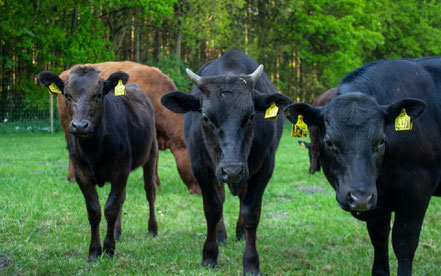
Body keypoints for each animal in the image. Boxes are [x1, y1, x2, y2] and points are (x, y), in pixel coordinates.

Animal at [38, 66, 158, 260]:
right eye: (67, 95)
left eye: (98, 95)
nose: (80, 126)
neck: (94, 148)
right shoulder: (81, 172)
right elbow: (94, 211)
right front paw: (94, 251)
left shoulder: (121, 169)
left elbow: (111, 208)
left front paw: (108, 249)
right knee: (122, 198)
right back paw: (117, 232)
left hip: (151, 153)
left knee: (150, 192)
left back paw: (152, 229)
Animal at [161, 50, 292, 276]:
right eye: (205, 117)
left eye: (251, 116)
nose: (232, 170)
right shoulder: (200, 169)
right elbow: (213, 209)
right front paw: (209, 255)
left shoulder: (263, 170)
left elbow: (251, 214)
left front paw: (251, 262)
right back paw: (221, 236)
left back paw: (239, 232)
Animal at [286, 57, 440, 274]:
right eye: (329, 142)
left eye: (381, 141)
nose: (360, 197)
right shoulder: (377, 203)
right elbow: (379, 240)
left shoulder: (417, 189)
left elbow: (404, 243)